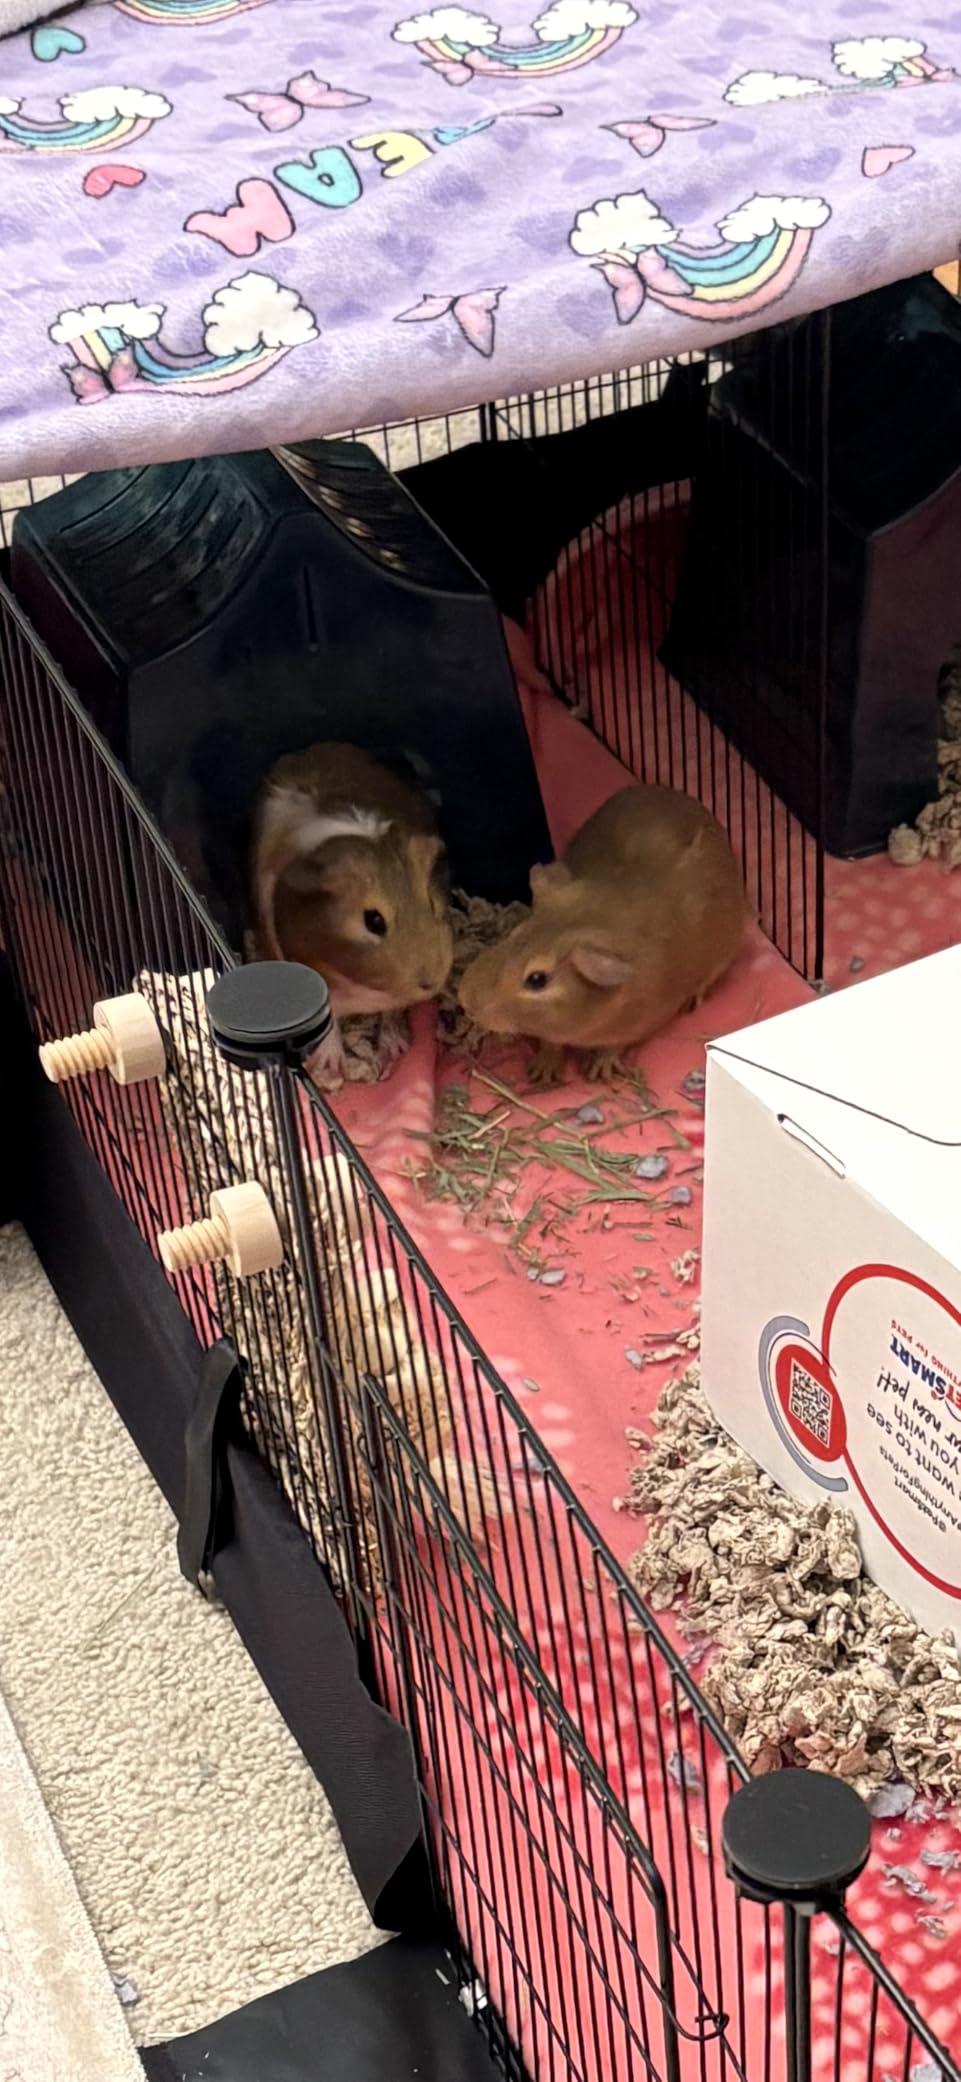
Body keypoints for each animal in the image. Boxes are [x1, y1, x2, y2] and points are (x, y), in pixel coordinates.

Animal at [252, 743, 454, 1086]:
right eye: (373, 921)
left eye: (431, 902)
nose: (431, 982)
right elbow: (329, 1019)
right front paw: (331, 1065)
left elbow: (390, 1012)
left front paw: (396, 1047)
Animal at [458, 783, 748, 1083]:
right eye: (515, 933)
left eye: (537, 980)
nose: (465, 1000)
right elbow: (551, 1042)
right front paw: (541, 1072)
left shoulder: (642, 1022)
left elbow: (613, 1046)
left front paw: (598, 1070)